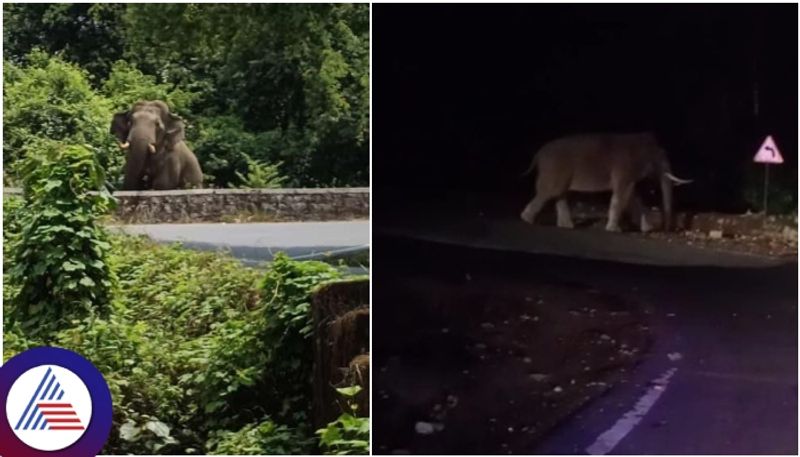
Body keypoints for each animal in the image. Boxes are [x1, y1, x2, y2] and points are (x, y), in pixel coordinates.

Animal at [520, 132, 692, 232]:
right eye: (659, 158)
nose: (666, 230)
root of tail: (538, 154)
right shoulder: (624, 168)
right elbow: (623, 195)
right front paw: (614, 230)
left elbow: (633, 197)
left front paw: (647, 229)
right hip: (554, 169)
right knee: (548, 192)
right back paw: (526, 219)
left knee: (559, 194)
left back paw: (566, 226)